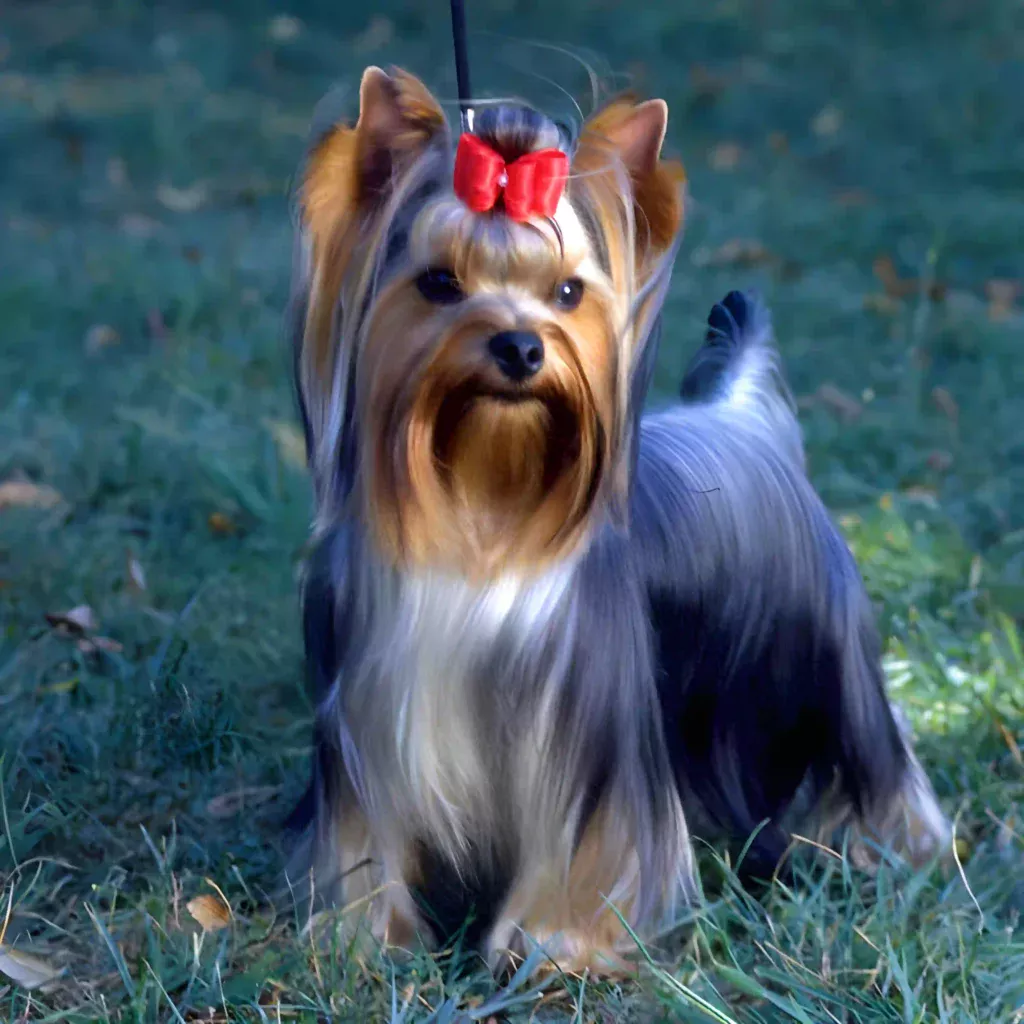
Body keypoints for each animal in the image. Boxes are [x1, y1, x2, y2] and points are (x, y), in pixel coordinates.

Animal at [282, 66, 950, 974]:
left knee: (876, 755)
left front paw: (556, 942)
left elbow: (590, 843)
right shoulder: (364, 714)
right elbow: (366, 831)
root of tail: (745, 418)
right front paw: (360, 937)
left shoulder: (595, 731)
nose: (522, 347)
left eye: (568, 291)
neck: (481, 519)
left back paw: (899, 848)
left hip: (827, 667)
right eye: (439, 283)